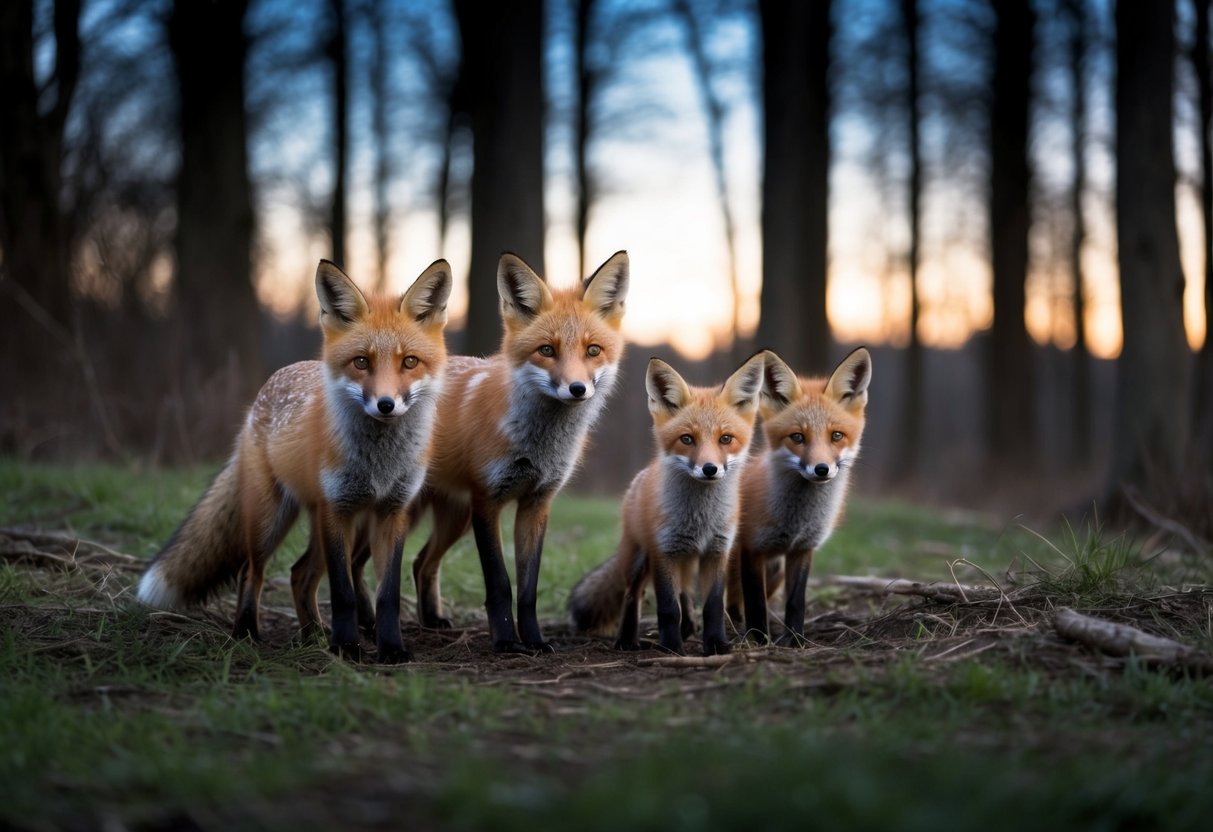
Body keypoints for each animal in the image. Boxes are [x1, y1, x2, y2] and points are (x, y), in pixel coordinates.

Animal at [137, 259, 452, 663]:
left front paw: (391, 649)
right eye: (361, 362)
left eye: (410, 362)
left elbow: (388, 595)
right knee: (250, 572)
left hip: (332, 525)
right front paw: (347, 648)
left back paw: (312, 635)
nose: (385, 405)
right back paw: (247, 633)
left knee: (299, 574)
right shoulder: (337, 510)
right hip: (270, 519)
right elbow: (343, 593)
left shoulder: (392, 513)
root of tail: (267, 388)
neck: (378, 465)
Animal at [292, 250, 630, 653]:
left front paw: (533, 641)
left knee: (417, 562)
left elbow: (528, 590)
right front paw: (506, 642)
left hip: (448, 516)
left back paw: (413, 621)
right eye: (546, 350)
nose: (577, 389)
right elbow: (499, 583)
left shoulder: (536, 503)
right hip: (384, 511)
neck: (537, 444)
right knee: (331, 568)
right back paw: (340, 630)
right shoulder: (488, 501)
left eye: (593, 350)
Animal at [567, 352, 767, 656]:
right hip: (639, 558)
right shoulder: (663, 552)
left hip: (685, 560)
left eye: (726, 439)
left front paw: (716, 644)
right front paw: (672, 647)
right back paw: (627, 639)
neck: (699, 519)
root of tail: (641, 475)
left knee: (685, 592)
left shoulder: (717, 551)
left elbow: (712, 606)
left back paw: (688, 628)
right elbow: (668, 608)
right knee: (633, 595)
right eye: (687, 439)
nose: (710, 469)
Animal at [725, 347, 872, 645]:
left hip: (775, 571)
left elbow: (796, 601)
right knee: (730, 599)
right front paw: (759, 640)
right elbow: (755, 602)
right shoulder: (752, 549)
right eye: (797, 437)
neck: (795, 521)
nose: (821, 469)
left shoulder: (802, 549)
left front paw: (794, 640)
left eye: (836, 435)